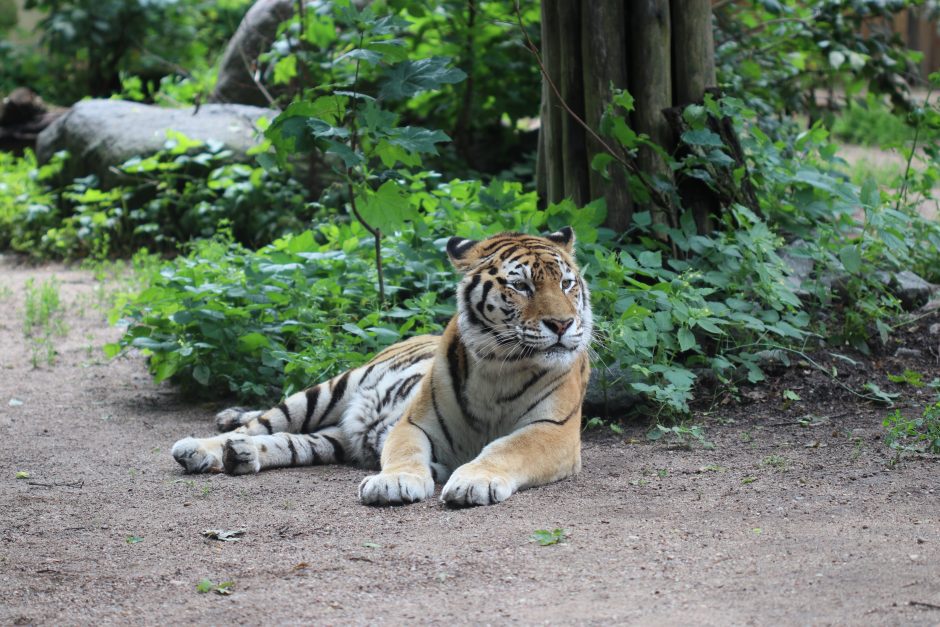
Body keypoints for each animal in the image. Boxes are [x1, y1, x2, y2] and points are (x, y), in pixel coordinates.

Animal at [173, 228, 592, 508]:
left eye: (566, 284)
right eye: (521, 286)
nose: (562, 324)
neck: (501, 366)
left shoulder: (554, 431)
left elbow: (506, 449)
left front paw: (473, 481)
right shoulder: (415, 423)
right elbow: (405, 452)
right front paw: (394, 482)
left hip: (333, 439)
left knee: (289, 442)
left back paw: (240, 454)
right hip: (330, 390)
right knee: (261, 423)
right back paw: (200, 447)